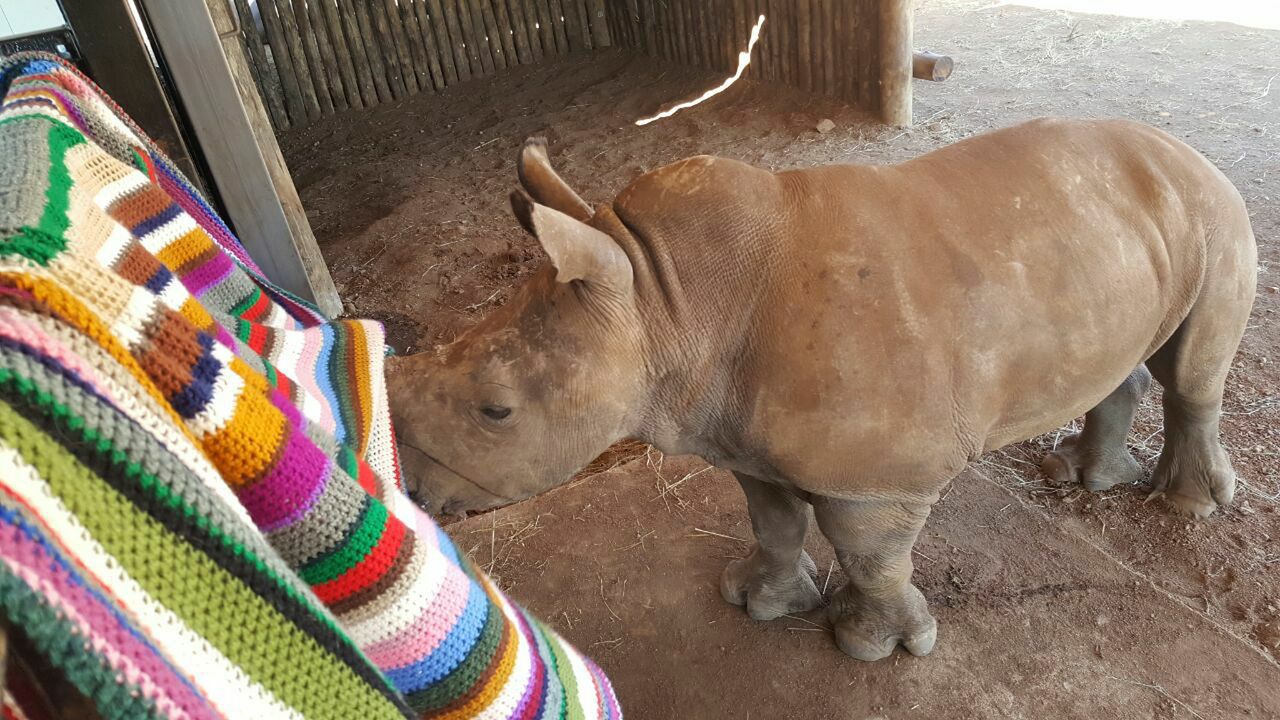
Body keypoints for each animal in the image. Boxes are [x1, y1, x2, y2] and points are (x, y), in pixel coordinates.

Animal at [386, 119, 1249, 661]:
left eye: (495, 410)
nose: (415, 491)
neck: (664, 299)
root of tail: (1188, 149)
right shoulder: (737, 432)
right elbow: (770, 520)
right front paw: (757, 604)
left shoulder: (878, 476)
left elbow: (870, 554)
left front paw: (874, 647)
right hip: (1113, 230)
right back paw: (1082, 477)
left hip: (1212, 210)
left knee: (1191, 371)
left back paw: (1188, 506)